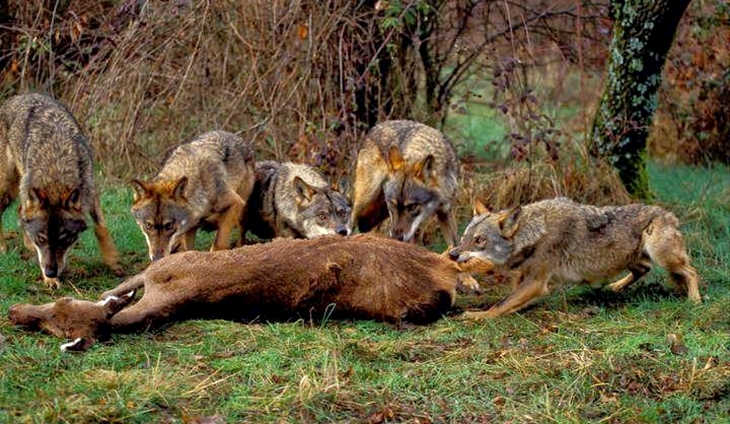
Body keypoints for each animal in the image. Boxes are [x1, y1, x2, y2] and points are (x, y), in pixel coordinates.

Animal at [0, 93, 121, 288]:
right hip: (8, 185)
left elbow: (101, 227)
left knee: (21, 212)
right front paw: (50, 280)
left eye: (64, 239)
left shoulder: (91, 191)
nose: (51, 272)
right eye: (41, 239)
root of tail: (16, 97)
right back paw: (3, 247)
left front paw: (113, 259)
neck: (57, 168)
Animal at [446, 196, 704, 318]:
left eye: (479, 240)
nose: (452, 254)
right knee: (643, 270)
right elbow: (507, 300)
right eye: (465, 237)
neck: (534, 233)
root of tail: (669, 214)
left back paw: (695, 300)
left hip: (663, 256)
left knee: (692, 272)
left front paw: (477, 316)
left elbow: (500, 304)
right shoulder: (525, 280)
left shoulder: (537, 283)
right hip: (635, 259)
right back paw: (615, 287)